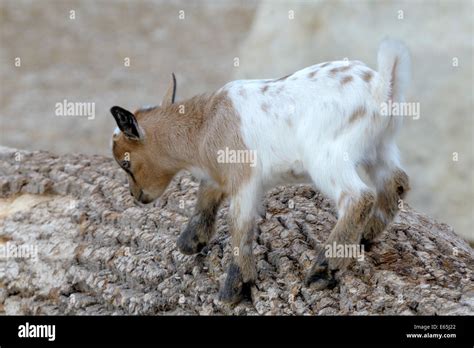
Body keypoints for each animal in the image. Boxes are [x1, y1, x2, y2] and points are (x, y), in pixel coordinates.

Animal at [111, 39, 412, 304]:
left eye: (126, 163)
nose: (136, 195)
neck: (205, 123)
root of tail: (381, 87)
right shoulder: (222, 174)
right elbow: (207, 195)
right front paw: (190, 242)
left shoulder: (245, 180)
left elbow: (239, 224)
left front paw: (235, 287)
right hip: (380, 148)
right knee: (396, 182)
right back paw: (364, 237)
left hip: (327, 157)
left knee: (359, 197)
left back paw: (324, 270)